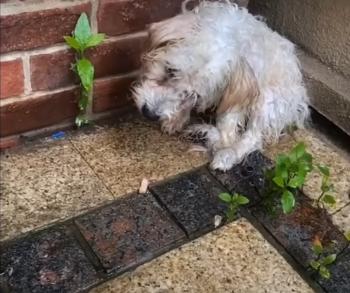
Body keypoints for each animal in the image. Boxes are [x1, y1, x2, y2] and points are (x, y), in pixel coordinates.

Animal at [132, 0, 308, 170]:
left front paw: (222, 145)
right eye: (170, 70)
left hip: (268, 101)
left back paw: (225, 152)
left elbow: (228, 131)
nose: (150, 114)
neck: (229, 34)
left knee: (253, 137)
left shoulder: (239, 93)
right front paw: (176, 119)